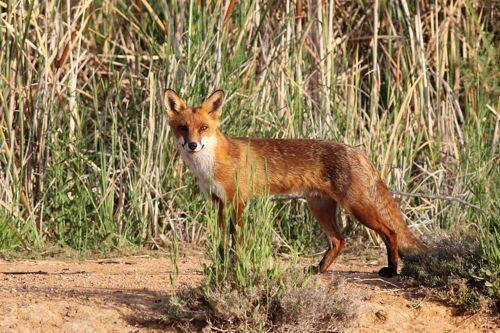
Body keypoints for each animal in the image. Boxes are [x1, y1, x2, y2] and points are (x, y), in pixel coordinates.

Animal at [165, 89, 426, 278]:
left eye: (203, 128)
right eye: (182, 128)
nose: (192, 145)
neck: (211, 165)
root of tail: (357, 151)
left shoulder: (238, 201)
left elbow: (236, 241)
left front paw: (236, 267)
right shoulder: (219, 203)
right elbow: (222, 243)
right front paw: (221, 266)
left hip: (357, 207)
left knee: (390, 232)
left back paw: (392, 270)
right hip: (319, 207)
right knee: (338, 240)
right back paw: (319, 270)